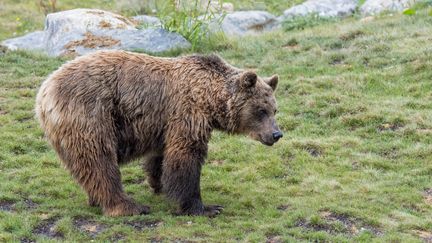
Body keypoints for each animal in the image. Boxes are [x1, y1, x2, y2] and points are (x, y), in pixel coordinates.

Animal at [34, 50, 284, 217]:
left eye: (274, 109)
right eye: (261, 110)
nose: (276, 134)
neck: (210, 100)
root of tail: (44, 91)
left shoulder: (163, 124)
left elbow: (160, 156)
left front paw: (159, 184)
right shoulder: (187, 113)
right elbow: (186, 157)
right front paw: (204, 207)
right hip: (91, 115)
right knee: (100, 162)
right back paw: (128, 206)